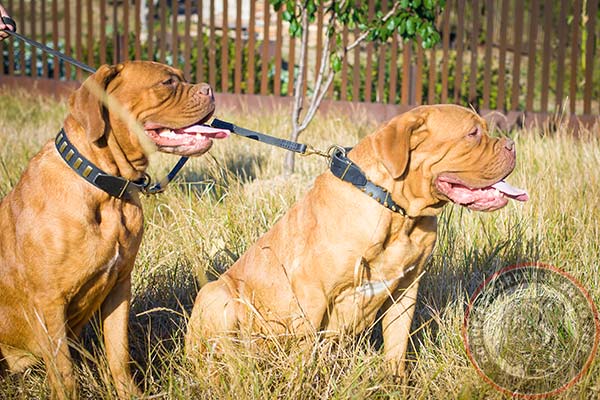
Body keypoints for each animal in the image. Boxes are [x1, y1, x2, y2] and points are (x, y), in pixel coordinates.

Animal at [0, 61, 227, 398]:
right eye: (168, 82)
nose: (210, 90)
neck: (105, 189)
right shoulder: (49, 304)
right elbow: (64, 373)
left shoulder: (119, 286)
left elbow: (119, 355)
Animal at [185, 104, 528, 374]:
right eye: (473, 134)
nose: (512, 144)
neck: (396, 212)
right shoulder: (311, 294)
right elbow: (306, 351)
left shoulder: (405, 291)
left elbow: (397, 347)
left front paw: (395, 383)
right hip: (217, 294)